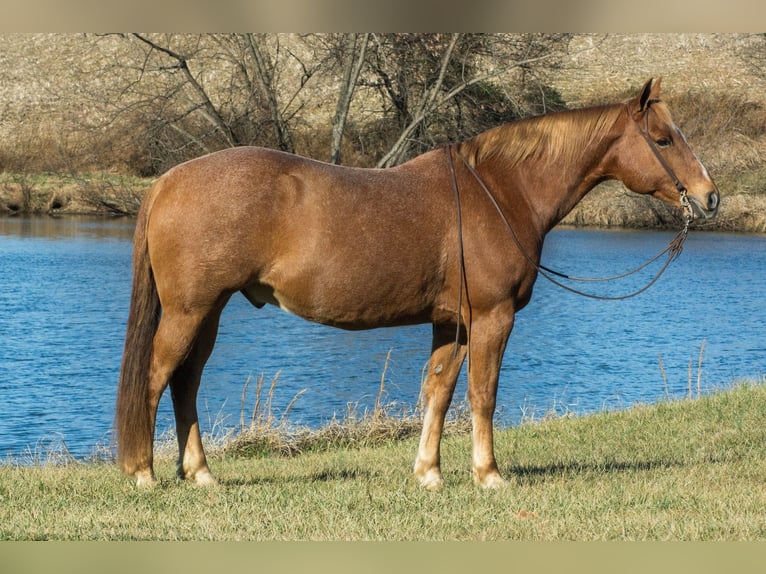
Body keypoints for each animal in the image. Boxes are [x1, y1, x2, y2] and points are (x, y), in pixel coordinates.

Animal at [116, 78, 719, 488]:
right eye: (664, 140)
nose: (710, 197)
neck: (500, 192)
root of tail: (168, 180)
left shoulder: (452, 322)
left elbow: (438, 391)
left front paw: (429, 472)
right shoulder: (492, 317)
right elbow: (482, 394)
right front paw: (488, 474)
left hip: (209, 311)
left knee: (186, 382)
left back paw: (200, 473)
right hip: (191, 310)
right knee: (157, 377)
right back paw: (144, 472)